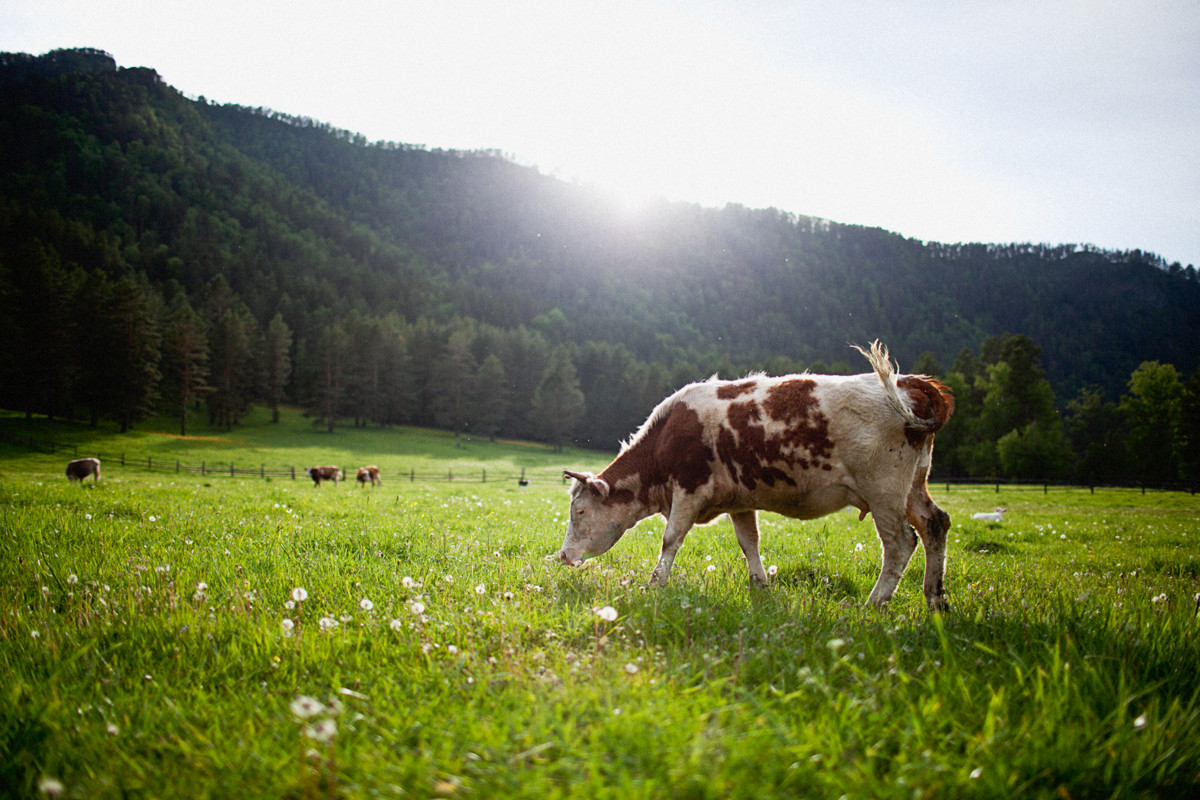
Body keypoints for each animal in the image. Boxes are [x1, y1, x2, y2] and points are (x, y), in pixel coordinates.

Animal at [554, 340, 955, 609]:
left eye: (580, 511)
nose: (563, 555)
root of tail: (912, 382)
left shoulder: (689, 489)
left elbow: (670, 539)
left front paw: (655, 584)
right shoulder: (738, 500)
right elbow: (749, 543)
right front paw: (760, 586)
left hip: (884, 490)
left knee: (900, 542)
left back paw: (873, 604)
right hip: (913, 486)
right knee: (935, 524)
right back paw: (935, 600)